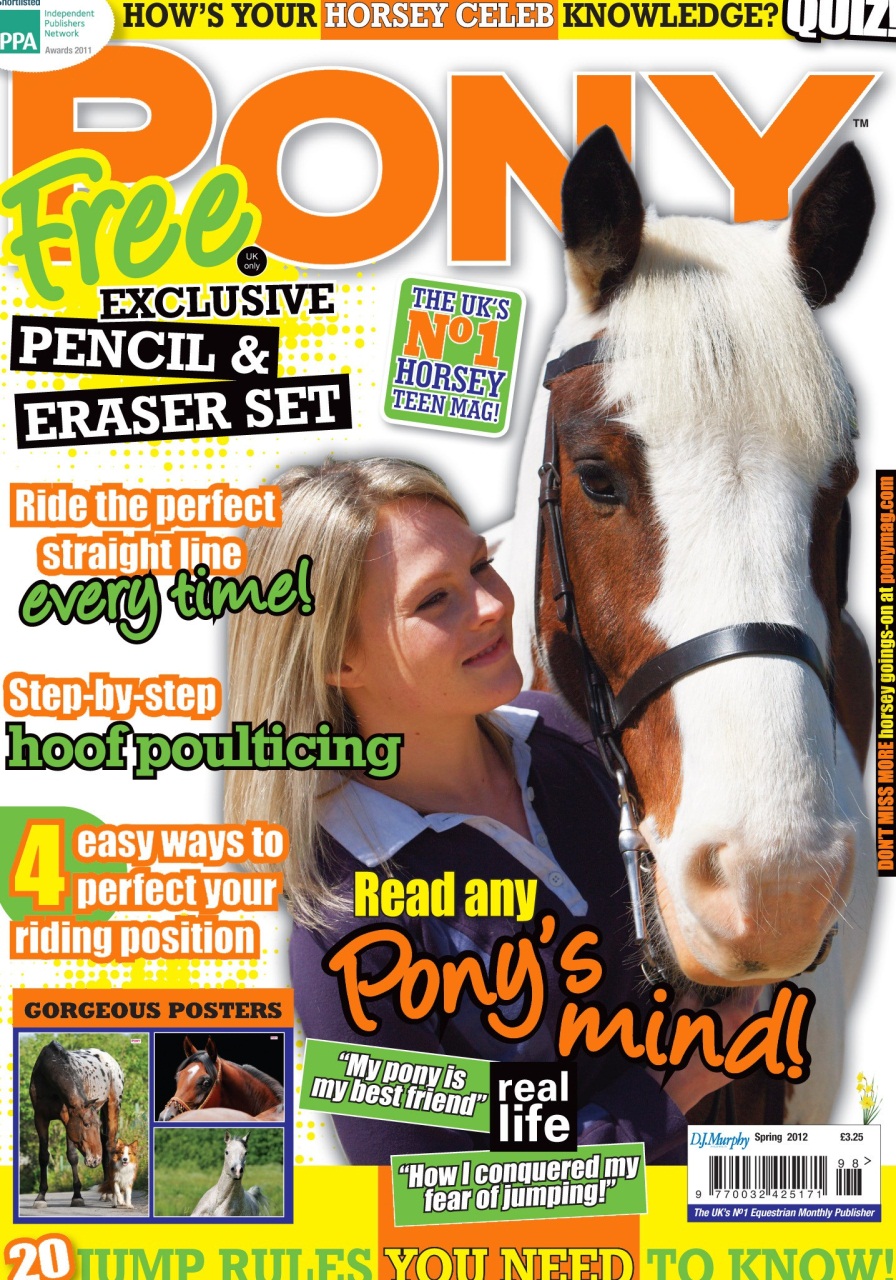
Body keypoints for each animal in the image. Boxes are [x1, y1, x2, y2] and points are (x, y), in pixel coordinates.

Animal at [29, 1040, 124, 1206]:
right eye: (85, 1124)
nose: (95, 1160)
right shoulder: (40, 1118)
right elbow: (43, 1156)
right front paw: (40, 1196)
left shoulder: (68, 1118)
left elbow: (72, 1156)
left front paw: (77, 1196)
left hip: (113, 1107)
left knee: (109, 1146)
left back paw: (109, 1192)